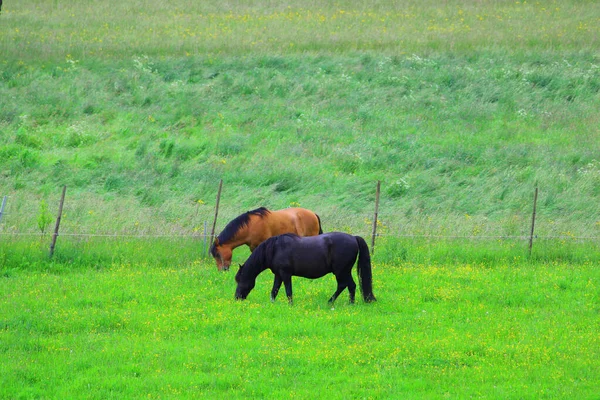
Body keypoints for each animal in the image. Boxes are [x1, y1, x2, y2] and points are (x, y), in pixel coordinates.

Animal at [234, 231, 376, 304]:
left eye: (239, 280)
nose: (237, 297)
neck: (275, 249)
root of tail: (353, 238)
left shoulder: (285, 274)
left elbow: (288, 291)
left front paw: (290, 305)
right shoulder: (278, 275)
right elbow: (274, 290)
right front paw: (272, 304)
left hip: (342, 271)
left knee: (347, 285)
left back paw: (342, 303)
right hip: (343, 272)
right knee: (346, 286)